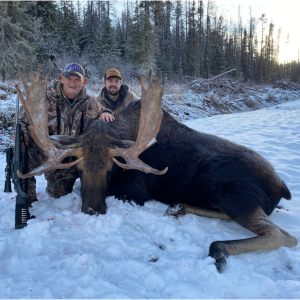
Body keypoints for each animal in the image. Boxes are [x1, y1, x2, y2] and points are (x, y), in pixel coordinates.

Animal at [16, 67, 298, 272]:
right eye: (80, 168)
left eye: (110, 169)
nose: (93, 210)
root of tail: (283, 186)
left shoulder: (138, 190)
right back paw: (179, 207)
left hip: (225, 188)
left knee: (282, 235)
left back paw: (219, 249)